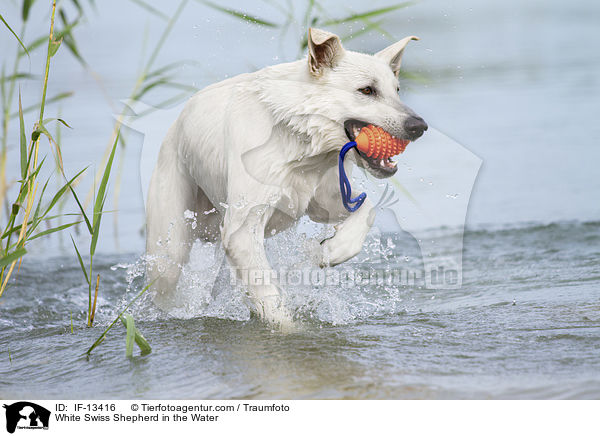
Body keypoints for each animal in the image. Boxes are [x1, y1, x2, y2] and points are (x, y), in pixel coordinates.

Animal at [145, 27, 426, 326]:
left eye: (397, 90)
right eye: (367, 90)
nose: (420, 126)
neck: (299, 139)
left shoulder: (327, 199)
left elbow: (366, 211)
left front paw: (324, 251)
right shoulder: (242, 230)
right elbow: (273, 304)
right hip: (169, 244)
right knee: (167, 279)